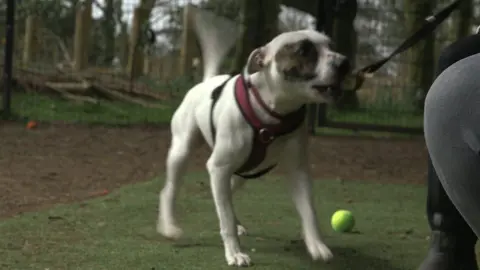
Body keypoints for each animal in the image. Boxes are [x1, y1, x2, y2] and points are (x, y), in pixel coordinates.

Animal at [158, 29, 348, 266]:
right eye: (304, 50)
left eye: (331, 46)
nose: (344, 62)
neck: (273, 113)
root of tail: (206, 82)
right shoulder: (219, 167)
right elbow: (225, 218)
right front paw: (234, 253)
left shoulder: (299, 172)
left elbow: (308, 211)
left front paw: (317, 245)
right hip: (181, 152)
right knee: (170, 190)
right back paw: (168, 226)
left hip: (245, 172)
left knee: (228, 193)